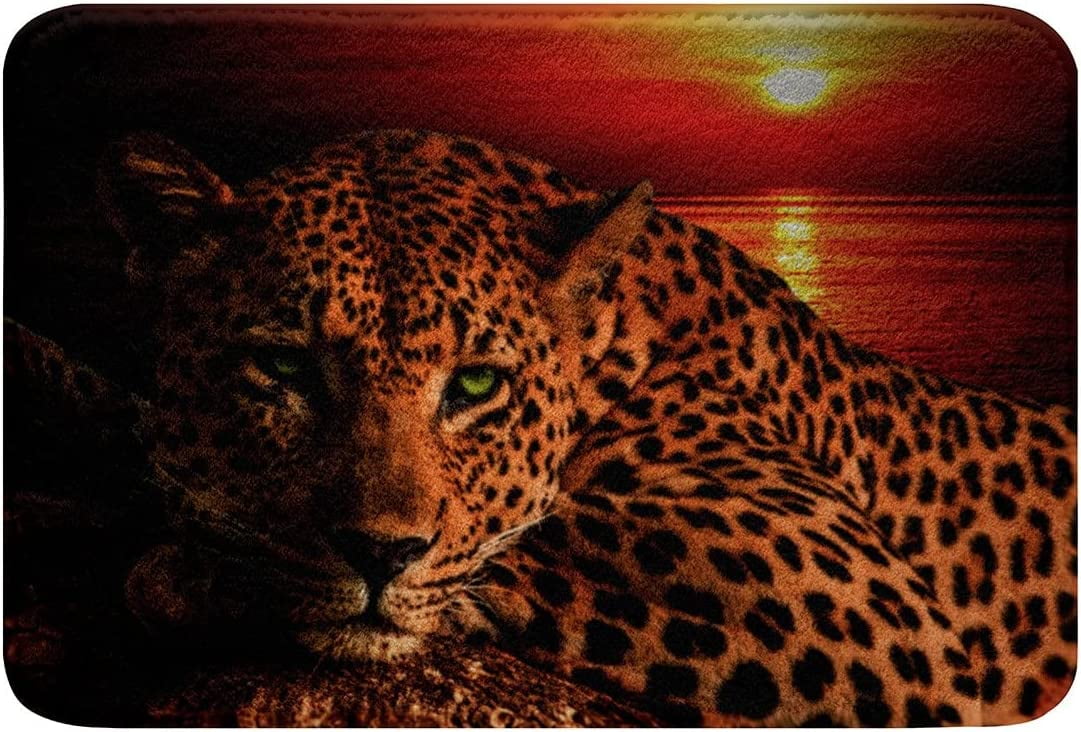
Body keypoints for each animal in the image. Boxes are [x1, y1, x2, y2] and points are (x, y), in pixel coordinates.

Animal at [97, 129, 1077, 726]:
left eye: (476, 383)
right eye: (286, 369)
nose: (380, 555)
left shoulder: (881, 623)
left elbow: (528, 538)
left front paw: (195, 570)